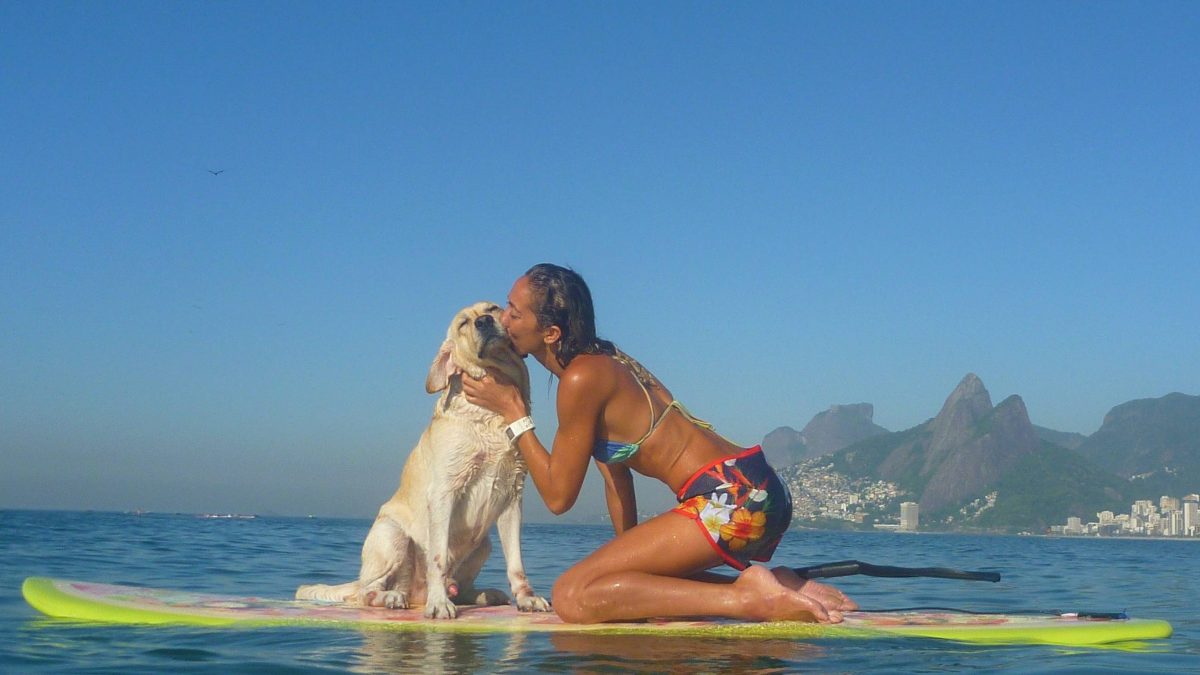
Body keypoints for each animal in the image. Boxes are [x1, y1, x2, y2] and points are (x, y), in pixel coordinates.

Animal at [295, 302, 549, 619]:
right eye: (463, 324)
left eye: (493, 308)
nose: (484, 322)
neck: (490, 415)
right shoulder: (444, 492)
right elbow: (437, 558)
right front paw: (439, 603)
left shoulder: (511, 497)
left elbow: (516, 564)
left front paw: (527, 598)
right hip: (392, 535)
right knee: (367, 591)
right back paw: (394, 596)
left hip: (483, 544)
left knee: (461, 587)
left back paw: (484, 594)